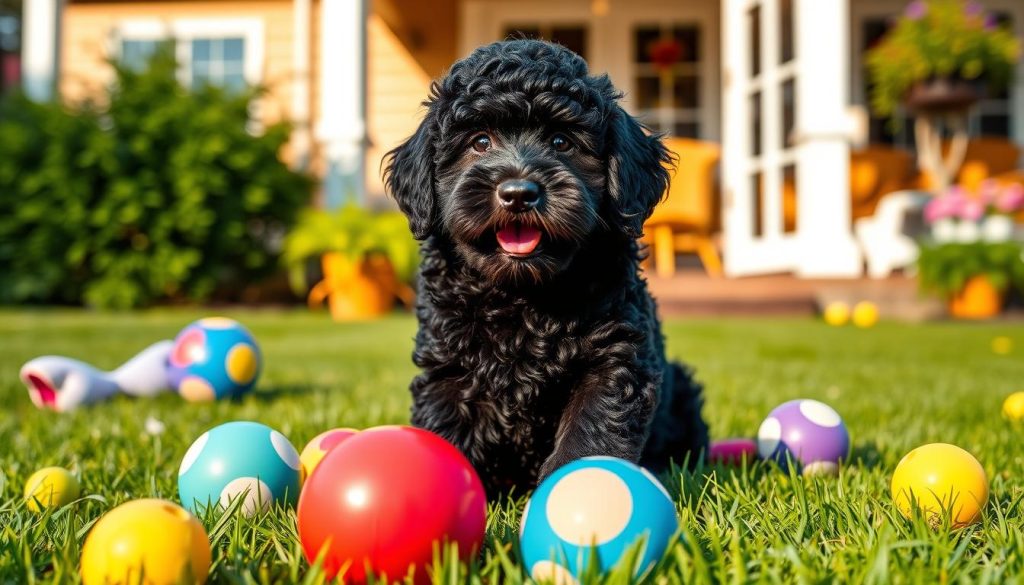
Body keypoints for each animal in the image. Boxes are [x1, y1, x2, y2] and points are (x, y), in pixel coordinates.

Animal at [380, 38, 708, 493]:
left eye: (560, 141)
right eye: (480, 141)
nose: (518, 193)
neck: (523, 297)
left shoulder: (613, 360)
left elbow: (589, 433)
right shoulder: (447, 369)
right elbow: (448, 430)